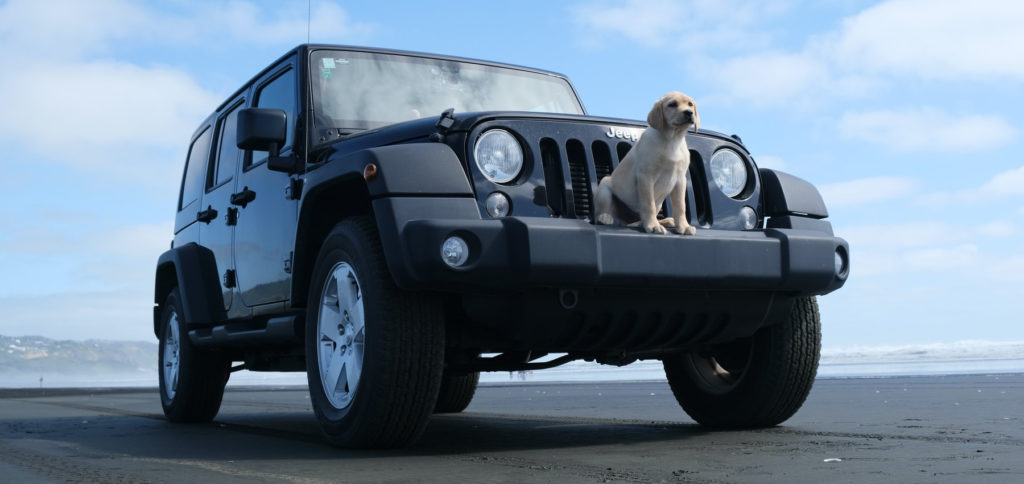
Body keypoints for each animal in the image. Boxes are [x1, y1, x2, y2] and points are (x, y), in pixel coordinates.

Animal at [598, 91, 700, 235]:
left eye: (690, 104)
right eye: (672, 105)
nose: (689, 112)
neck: (672, 139)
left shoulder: (680, 180)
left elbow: (680, 206)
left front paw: (683, 226)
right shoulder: (646, 176)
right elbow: (648, 204)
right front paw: (652, 225)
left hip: (659, 203)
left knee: (640, 220)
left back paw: (666, 221)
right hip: (604, 187)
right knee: (602, 214)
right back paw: (606, 217)